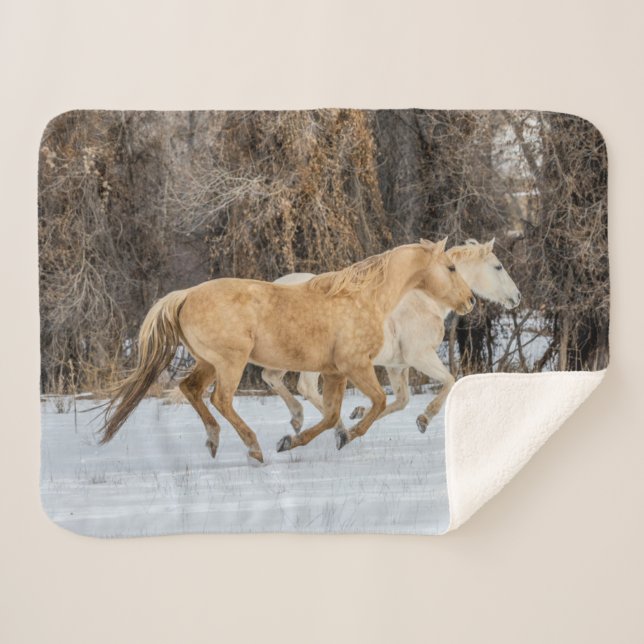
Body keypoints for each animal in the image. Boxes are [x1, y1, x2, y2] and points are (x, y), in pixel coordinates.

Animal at [100, 239, 475, 463]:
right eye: (451, 267)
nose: (470, 301)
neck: (363, 298)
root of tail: (185, 295)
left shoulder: (335, 372)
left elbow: (332, 414)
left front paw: (298, 440)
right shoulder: (356, 366)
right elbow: (379, 403)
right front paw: (345, 436)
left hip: (207, 361)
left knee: (190, 389)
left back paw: (214, 441)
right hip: (230, 362)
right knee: (220, 399)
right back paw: (253, 448)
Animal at [262, 239, 521, 435]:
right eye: (498, 267)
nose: (517, 297)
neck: (425, 301)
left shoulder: (397, 366)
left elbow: (401, 400)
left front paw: (359, 413)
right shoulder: (419, 356)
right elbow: (449, 380)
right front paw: (424, 419)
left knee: (272, 377)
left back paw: (302, 420)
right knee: (304, 386)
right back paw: (335, 427)